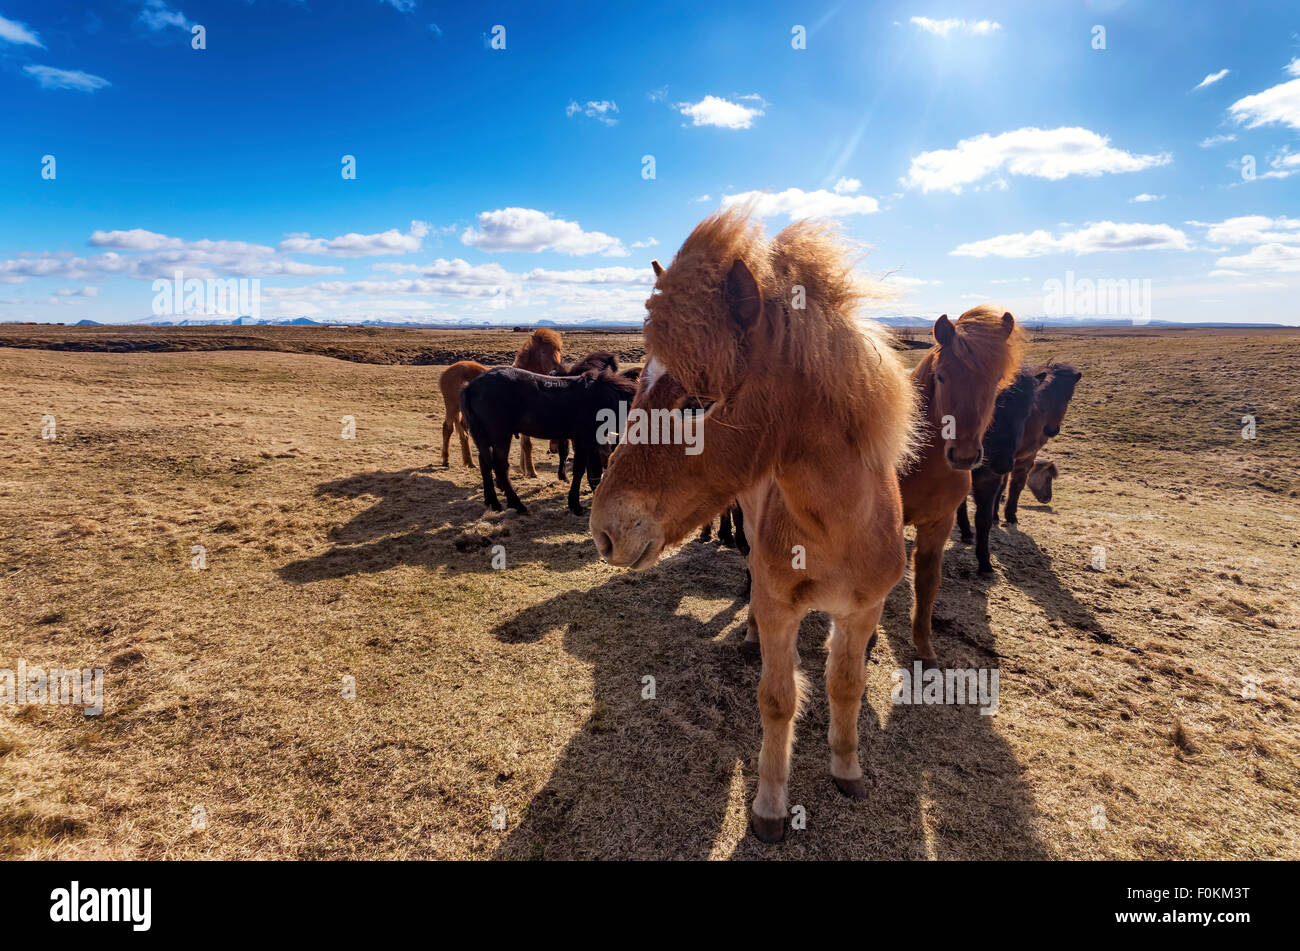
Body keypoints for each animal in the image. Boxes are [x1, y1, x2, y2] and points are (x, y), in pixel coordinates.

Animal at [461, 366, 635, 515]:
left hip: (484, 436)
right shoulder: (583, 439)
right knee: (500, 466)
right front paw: (575, 505)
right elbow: (580, 469)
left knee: (485, 463)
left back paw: (493, 502)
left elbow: (595, 470)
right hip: (500, 436)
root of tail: (470, 387)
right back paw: (517, 504)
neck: (603, 398)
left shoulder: (593, 441)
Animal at [590, 209, 917, 843]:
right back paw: (746, 636)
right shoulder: (780, 607)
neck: (840, 531)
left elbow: (846, 685)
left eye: (697, 401)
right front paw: (769, 806)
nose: (604, 531)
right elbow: (778, 699)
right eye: (638, 383)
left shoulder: (864, 611)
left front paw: (847, 769)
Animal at [898, 306, 1024, 662]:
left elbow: (927, 584)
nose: (965, 455)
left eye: (996, 379)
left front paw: (924, 649)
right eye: (941, 376)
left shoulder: (939, 525)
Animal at [1003, 362, 1081, 524]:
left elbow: (1016, 483)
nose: (1048, 498)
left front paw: (1009, 515)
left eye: (1068, 398)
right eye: (1048, 478)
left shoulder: (1026, 456)